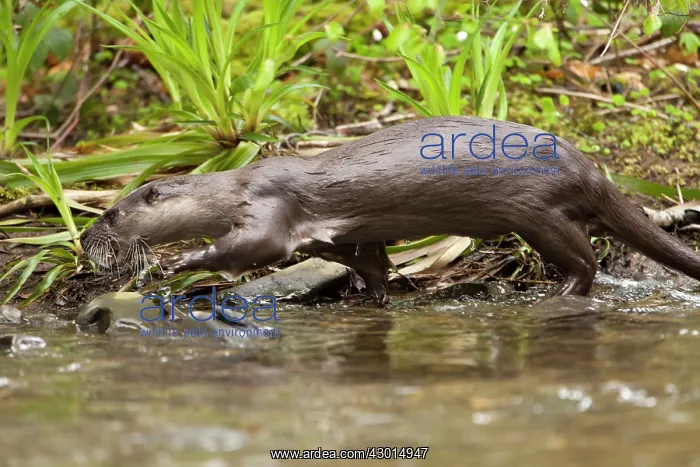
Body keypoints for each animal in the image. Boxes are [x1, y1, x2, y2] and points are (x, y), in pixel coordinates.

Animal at [81, 116, 700, 304]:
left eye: (110, 216)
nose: (84, 238)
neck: (232, 188)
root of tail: (590, 169)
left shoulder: (268, 205)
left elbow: (257, 246)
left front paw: (180, 262)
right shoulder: (347, 235)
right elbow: (369, 260)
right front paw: (372, 296)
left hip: (536, 213)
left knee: (586, 261)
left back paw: (556, 296)